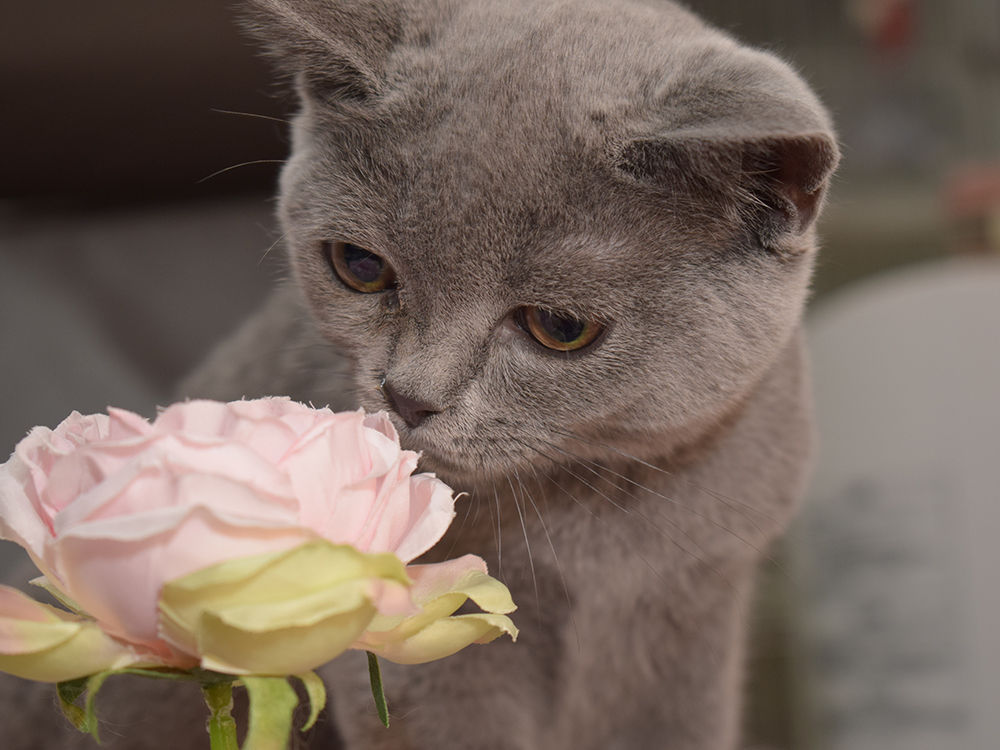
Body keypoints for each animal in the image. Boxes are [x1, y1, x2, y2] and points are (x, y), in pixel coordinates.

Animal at [0, 1, 836, 750]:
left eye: (560, 328)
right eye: (360, 267)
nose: (409, 396)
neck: (594, 515)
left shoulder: (695, 618)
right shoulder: (427, 657)